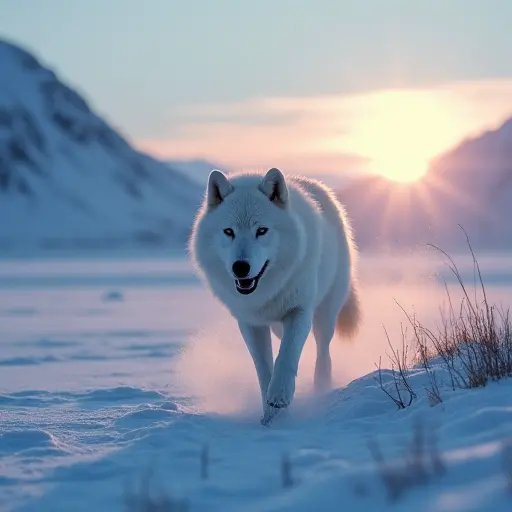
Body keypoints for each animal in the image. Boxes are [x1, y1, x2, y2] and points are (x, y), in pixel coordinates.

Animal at [188, 168, 360, 424]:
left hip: (326, 313)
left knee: (323, 351)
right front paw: (272, 416)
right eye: (229, 232)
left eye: (261, 231)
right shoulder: (250, 323)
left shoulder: (300, 311)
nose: (240, 267)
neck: (265, 293)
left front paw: (280, 395)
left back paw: (321, 389)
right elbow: (263, 369)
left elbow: (287, 356)